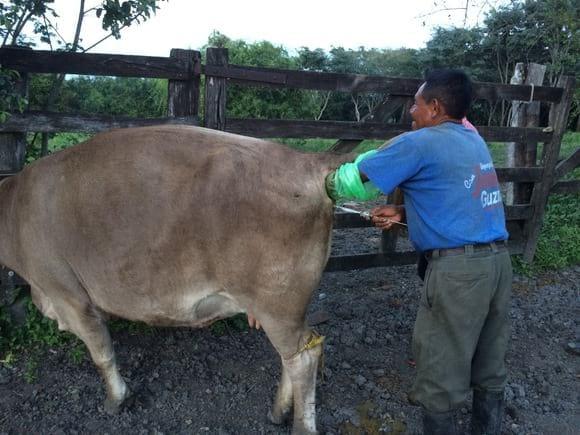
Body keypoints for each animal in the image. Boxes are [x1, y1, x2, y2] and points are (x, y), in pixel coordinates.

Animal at [0, 124, 354, 434]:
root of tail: (307, 160)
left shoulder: (68, 294)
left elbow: (101, 355)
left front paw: (116, 400)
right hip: (284, 308)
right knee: (295, 353)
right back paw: (278, 411)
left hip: (277, 304)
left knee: (303, 358)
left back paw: (300, 426)